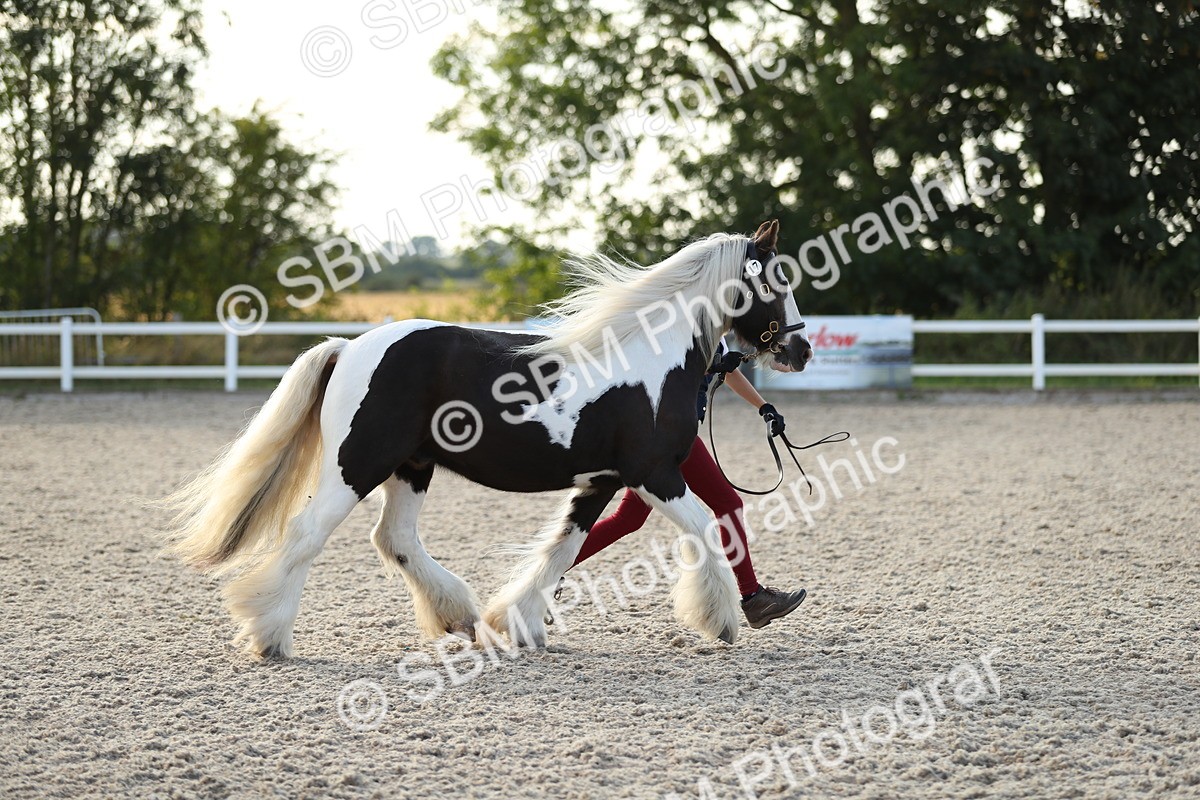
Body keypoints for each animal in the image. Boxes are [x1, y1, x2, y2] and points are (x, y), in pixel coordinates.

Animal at [162, 219, 813, 659]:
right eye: (777, 281)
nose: (801, 349)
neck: (650, 360)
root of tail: (351, 348)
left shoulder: (602, 481)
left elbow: (562, 550)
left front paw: (519, 624)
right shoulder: (652, 473)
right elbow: (705, 527)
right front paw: (721, 619)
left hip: (411, 467)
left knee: (394, 538)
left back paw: (458, 615)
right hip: (357, 465)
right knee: (307, 535)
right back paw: (270, 637)